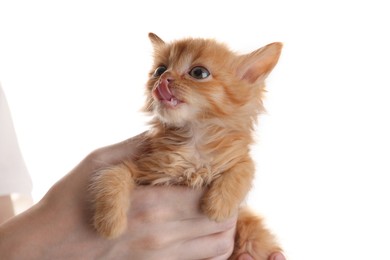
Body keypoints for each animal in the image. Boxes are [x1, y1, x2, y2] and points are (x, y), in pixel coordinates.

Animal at [90, 32, 282, 258]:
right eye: (160, 69)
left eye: (198, 73)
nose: (164, 78)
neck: (193, 141)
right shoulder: (141, 166)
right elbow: (113, 175)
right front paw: (110, 224)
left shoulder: (236, 157)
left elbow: (244, 168)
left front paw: (219, 206)